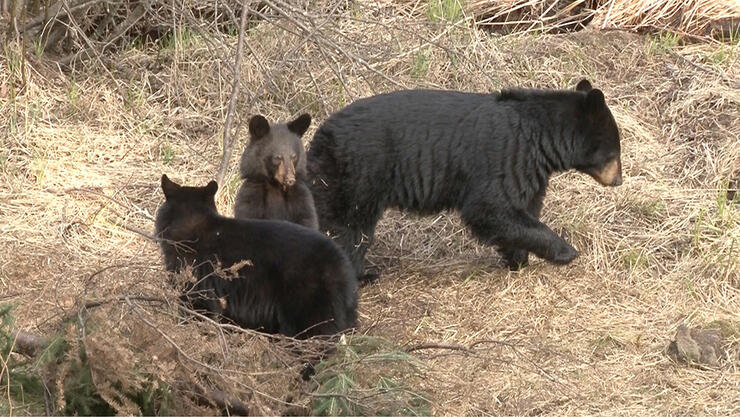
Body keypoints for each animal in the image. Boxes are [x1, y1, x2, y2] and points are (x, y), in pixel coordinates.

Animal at [308, 79, 624, 280]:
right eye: (615, 151)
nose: (618, 180)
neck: (540, 137)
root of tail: (320, 134)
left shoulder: (530, 170)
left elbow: (524, 209)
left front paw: (518, 258)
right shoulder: (504, 155)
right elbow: (489, 208)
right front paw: (566, 252)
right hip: (359, 171)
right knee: (349, 227)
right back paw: (359, 275)